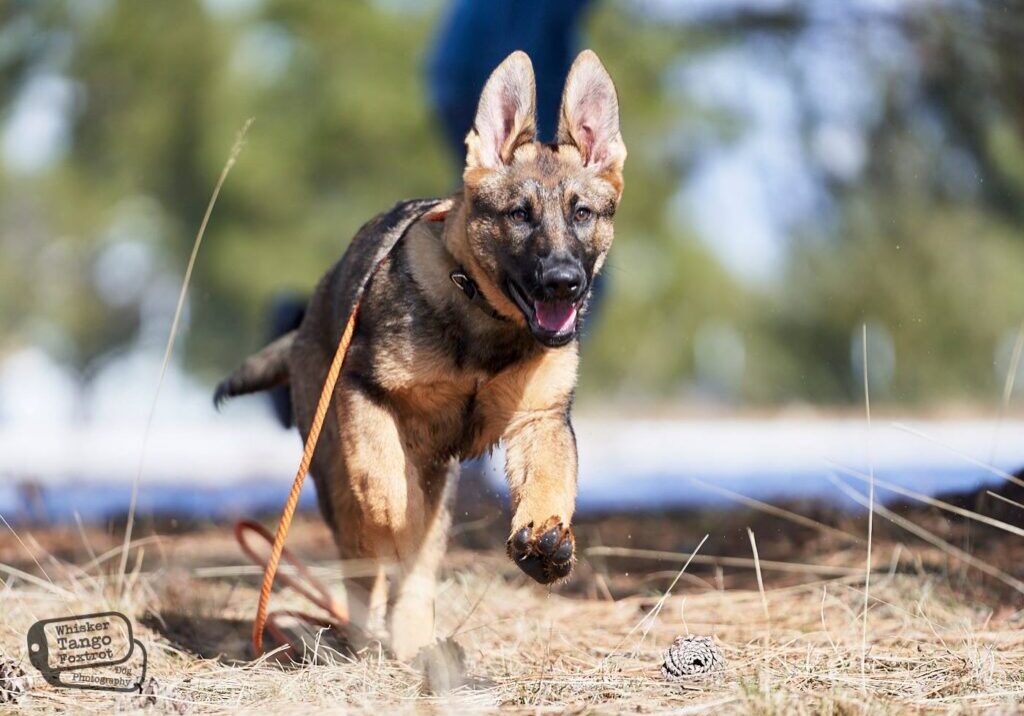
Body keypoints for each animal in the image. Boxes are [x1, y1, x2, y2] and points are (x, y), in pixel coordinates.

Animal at [216, 47, 622, 659]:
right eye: (519, 214)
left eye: (582, 213)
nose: (563, 283)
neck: (483, 318)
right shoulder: (363, 386)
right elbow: (382, 473)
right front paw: (392, 507)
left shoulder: (540, 420)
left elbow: (551, 479)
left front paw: (547, 539)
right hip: (331, 463)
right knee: (367, 560)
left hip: (441, 487)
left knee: (417, 573)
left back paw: (413, 646)